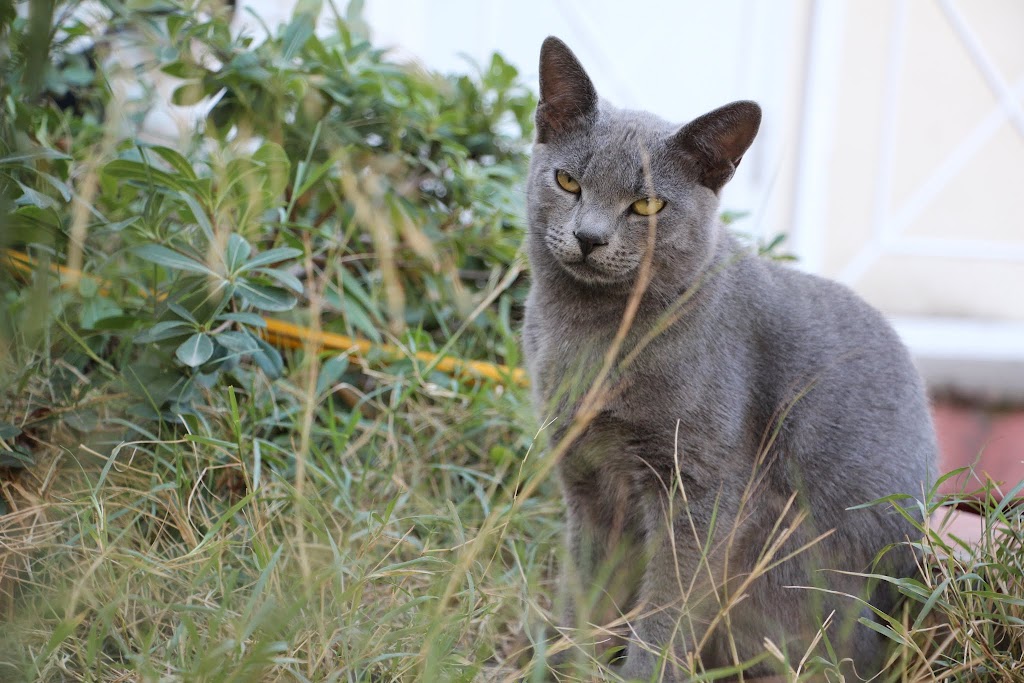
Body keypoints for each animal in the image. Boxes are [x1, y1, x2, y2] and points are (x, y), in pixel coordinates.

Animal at [524, 37, 933, 683]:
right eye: (567, 181)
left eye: (646, 205)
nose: (589, 237)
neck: (594, 337)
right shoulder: (587, 479)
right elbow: (584, 598)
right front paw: (566, 665)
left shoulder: (703, 492)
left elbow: (665, 613)